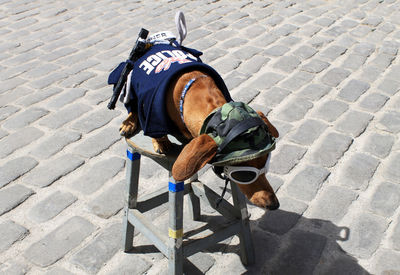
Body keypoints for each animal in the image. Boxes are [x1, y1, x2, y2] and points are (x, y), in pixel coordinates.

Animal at [120, 70, 280, 210]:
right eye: (244, 174)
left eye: (265, 164)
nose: (274, 205)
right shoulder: (151, 107)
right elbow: (153, 124)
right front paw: (162, 142)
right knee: (133, 107)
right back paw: (129, 123)